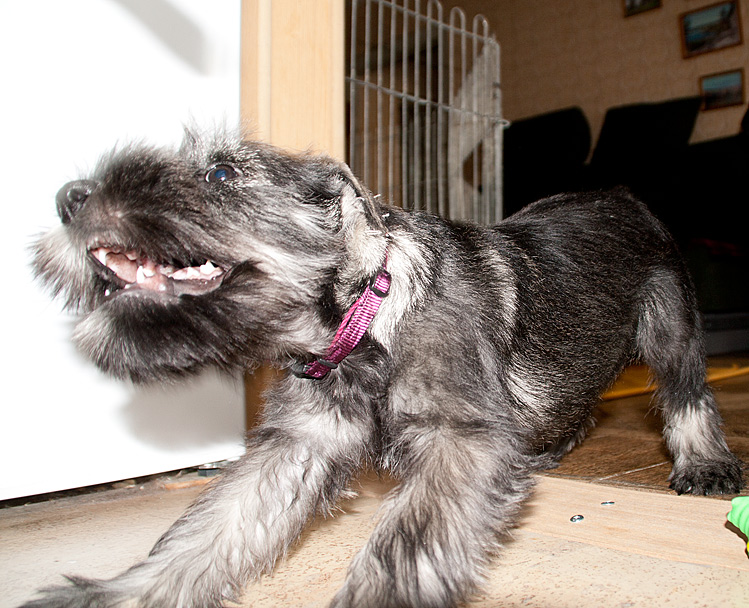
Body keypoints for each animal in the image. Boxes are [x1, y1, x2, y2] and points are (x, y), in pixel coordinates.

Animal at [26, 130, 742, 608]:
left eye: (222, 175)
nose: (68, 199)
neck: (365, 318)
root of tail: (622, 196)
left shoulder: (457, 441)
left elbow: (405, 547)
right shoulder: (297, 446)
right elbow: (211, 528)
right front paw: (118, 593)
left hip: (671, 325)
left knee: (688, 397)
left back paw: (705, 465)